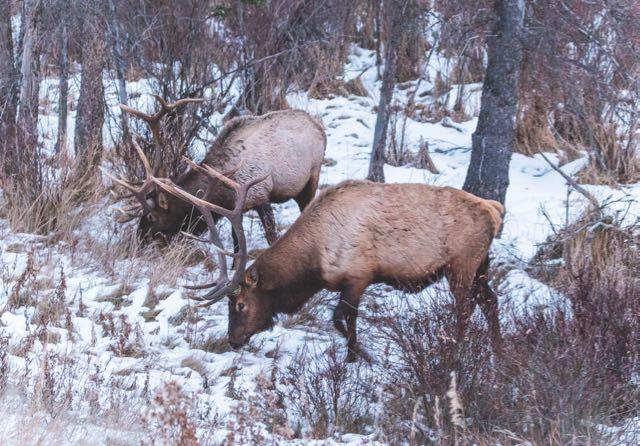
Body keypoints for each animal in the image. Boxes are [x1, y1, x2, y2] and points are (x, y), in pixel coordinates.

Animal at [106, 95, 324, 251]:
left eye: (151, 217)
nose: (137, 242)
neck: (223, 191)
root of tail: (319, 124)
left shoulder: (260, 195)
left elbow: (271, 236)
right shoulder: (236, 210)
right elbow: (236, 244)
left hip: (312, 176)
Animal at [154, 171, 504, 362]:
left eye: (240, 304)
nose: (233, 340)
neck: (314, 264)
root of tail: (494, 210)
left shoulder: (359, 275)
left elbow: (339, 318)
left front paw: (362, 354)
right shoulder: (353, 281)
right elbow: (349, 319)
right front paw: (351, 356)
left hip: (462, 264)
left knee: (465, 308)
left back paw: (454, 351)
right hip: (481, 265)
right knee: (490, 300)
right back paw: (495, 349)